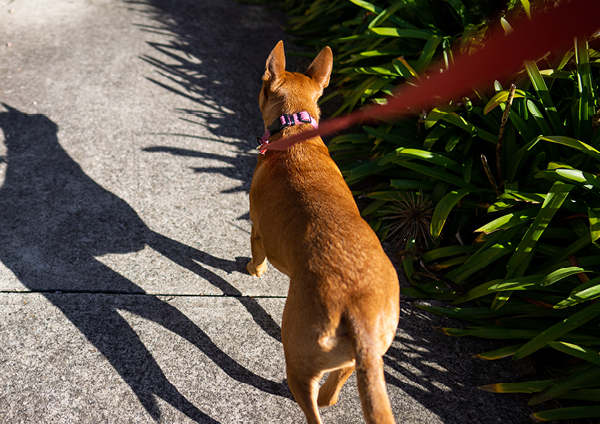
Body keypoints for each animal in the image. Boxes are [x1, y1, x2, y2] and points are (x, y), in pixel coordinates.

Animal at [246, 40, 400, 424]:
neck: (295, 132)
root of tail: (358, 314)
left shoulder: (256, 227)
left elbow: (257, 254)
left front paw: (254, 270)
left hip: (299, 356)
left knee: (313, 405)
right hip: (356, 360)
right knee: (332, 393)